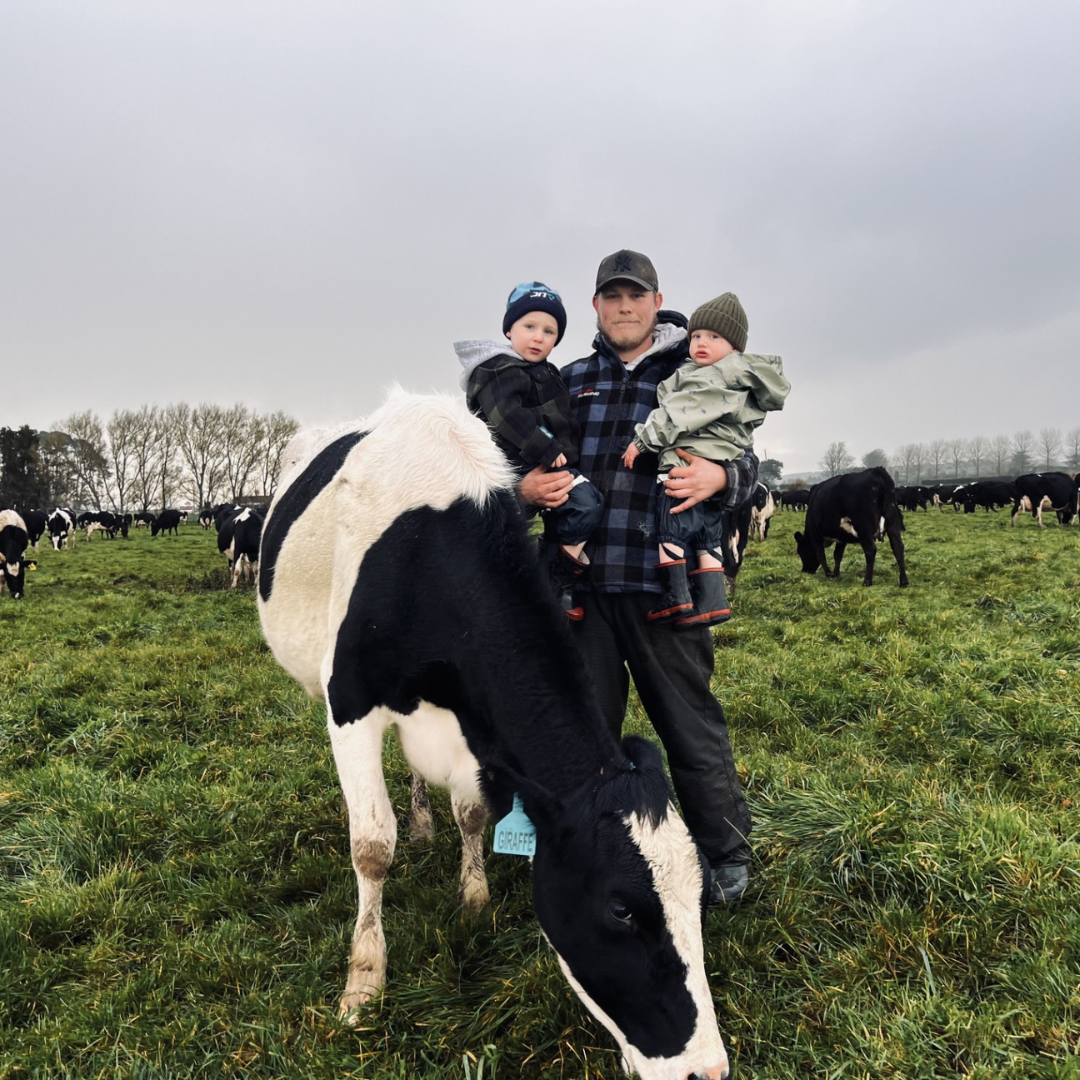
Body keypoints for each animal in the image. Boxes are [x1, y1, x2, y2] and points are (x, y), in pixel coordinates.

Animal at [257, 395, 730, 1080]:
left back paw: (424, 823)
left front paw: (474, 899)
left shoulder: (474, 726)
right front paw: (363, 983)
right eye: (621, 908)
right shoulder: (349, 700)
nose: (707, 1070)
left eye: (701, 894)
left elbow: (475, 811)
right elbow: (371, 845)